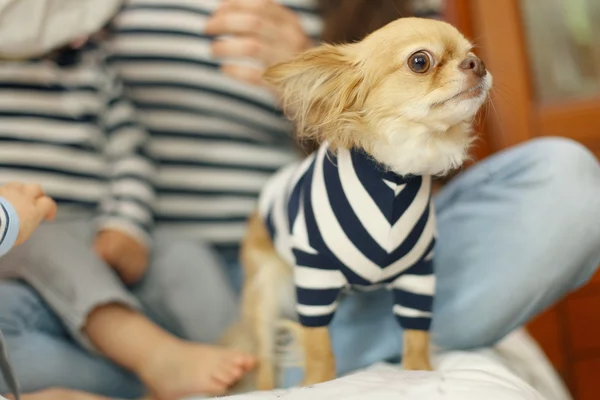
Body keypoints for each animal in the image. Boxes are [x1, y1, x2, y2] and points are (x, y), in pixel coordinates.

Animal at [234, 17, 492, 390]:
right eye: (420, 61)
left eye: (470, 52)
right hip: (267, 290)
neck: (395, 177)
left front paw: (420, 374)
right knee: (266, 357)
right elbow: (319, 347)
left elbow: (416, 335)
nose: (477, 63)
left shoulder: (418, 276)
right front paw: (318, 384)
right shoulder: (314, 279)